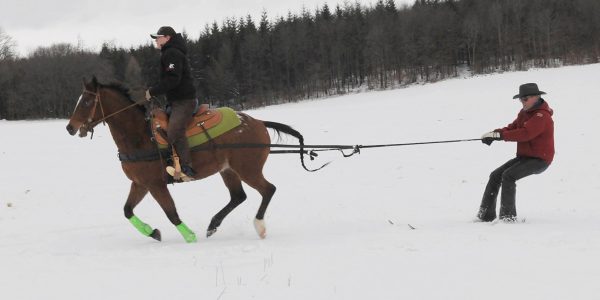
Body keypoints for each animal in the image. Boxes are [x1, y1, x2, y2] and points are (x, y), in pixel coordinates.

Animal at [68, 76, 308, 243]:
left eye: (87, 101)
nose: (70, 127)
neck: (140, 136)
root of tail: (258, 122)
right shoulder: (140, 183)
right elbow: (127, 210)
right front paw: (152, 232)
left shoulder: (156, 184)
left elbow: (171, 213)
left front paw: (189, 236)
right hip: (228, 169)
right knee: (238, 196)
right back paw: (213, 224)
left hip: (248, 168)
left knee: (268, 189)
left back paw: (259, 226)